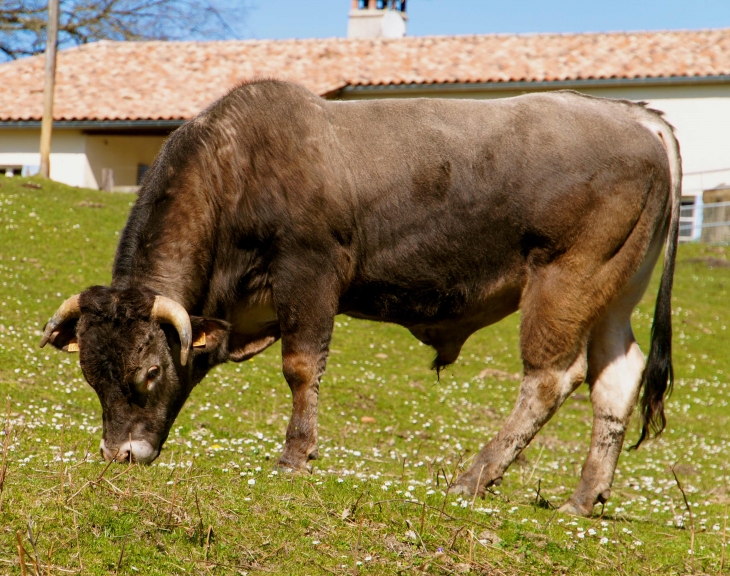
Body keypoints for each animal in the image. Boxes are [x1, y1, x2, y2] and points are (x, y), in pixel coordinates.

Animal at [39, 79, 676, 516]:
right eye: (91, 375)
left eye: (149, 371)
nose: (121, 454)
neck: (238, 168)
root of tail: (633, 115)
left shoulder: (310, 273)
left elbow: (301, 367)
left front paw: (295, 457)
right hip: (614, 290)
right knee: (616, 377)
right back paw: (583, 497)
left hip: (566, 278)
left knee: (551, 377)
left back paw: (473, 477)